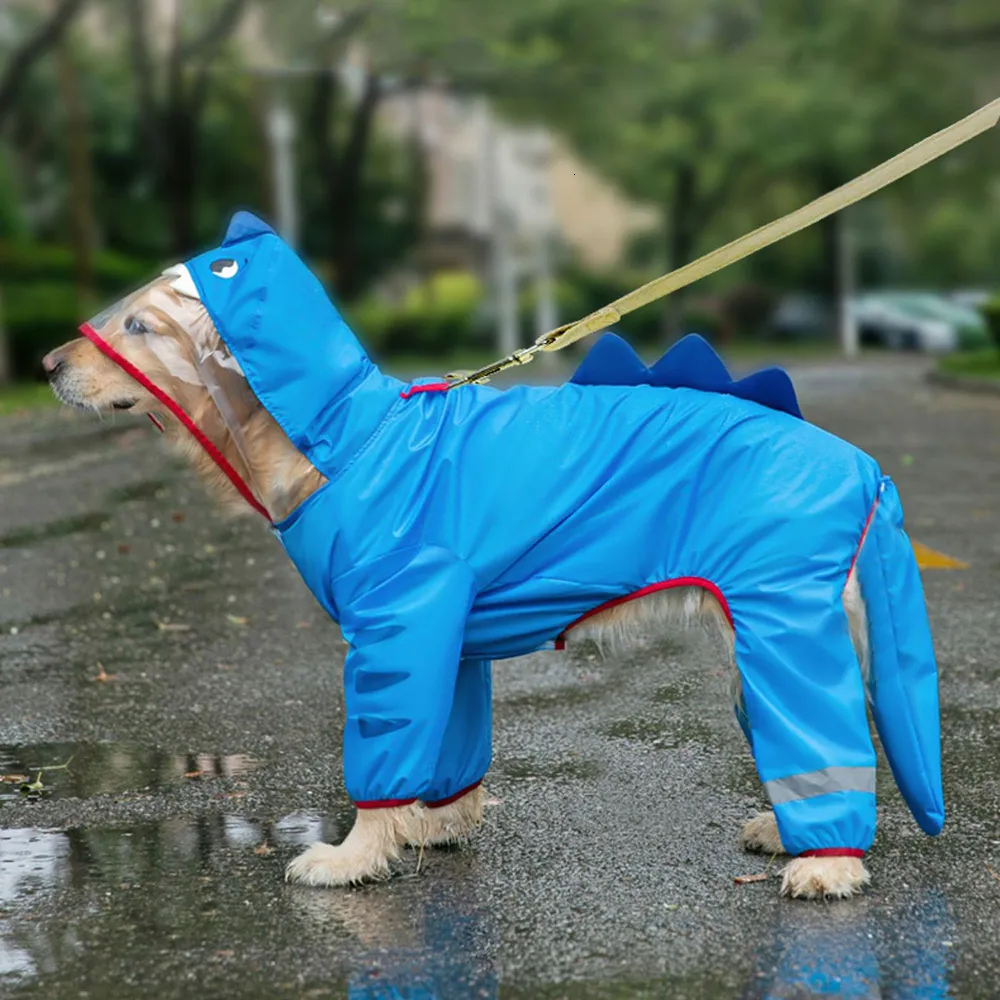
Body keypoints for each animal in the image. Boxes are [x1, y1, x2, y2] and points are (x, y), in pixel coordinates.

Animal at [41, 211, 944, 900]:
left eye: (139, 324)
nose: (45, 364)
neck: (351, 439)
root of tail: (862, 466)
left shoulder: (400, 623)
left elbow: (387, 751)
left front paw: (353, 856)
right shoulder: (449, 638)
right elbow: (449, 745)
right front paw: (434, 825)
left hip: (783, 620)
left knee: (828, 732)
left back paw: (827, 864)